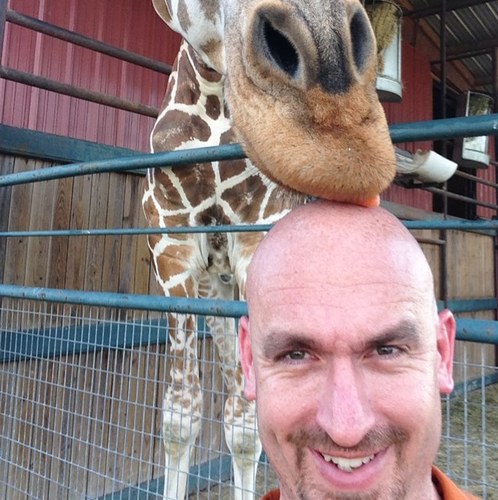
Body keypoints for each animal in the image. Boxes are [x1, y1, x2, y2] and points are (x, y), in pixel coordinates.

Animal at [142, 1, 394, 498]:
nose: (332, 68)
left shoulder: (256, 246)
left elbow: (246, 425)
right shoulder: (172, 253)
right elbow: (181, 413)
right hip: (214, 292)